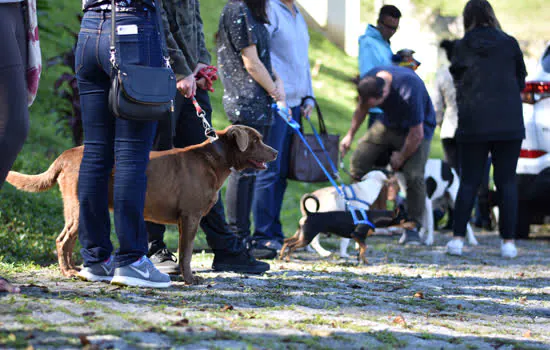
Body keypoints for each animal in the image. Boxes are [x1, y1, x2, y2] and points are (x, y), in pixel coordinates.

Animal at [6, 126, 278, 284]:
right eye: (256, 140)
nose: (275, 152)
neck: (217, 157)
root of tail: (65, 155)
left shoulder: (185, 220)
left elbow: (185, 251)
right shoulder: (190, 216)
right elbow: (187, 253)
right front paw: (190, 279)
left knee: (69, 240)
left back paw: (75, 268)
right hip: (79, 205)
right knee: (62, 239)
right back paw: (68, 272)